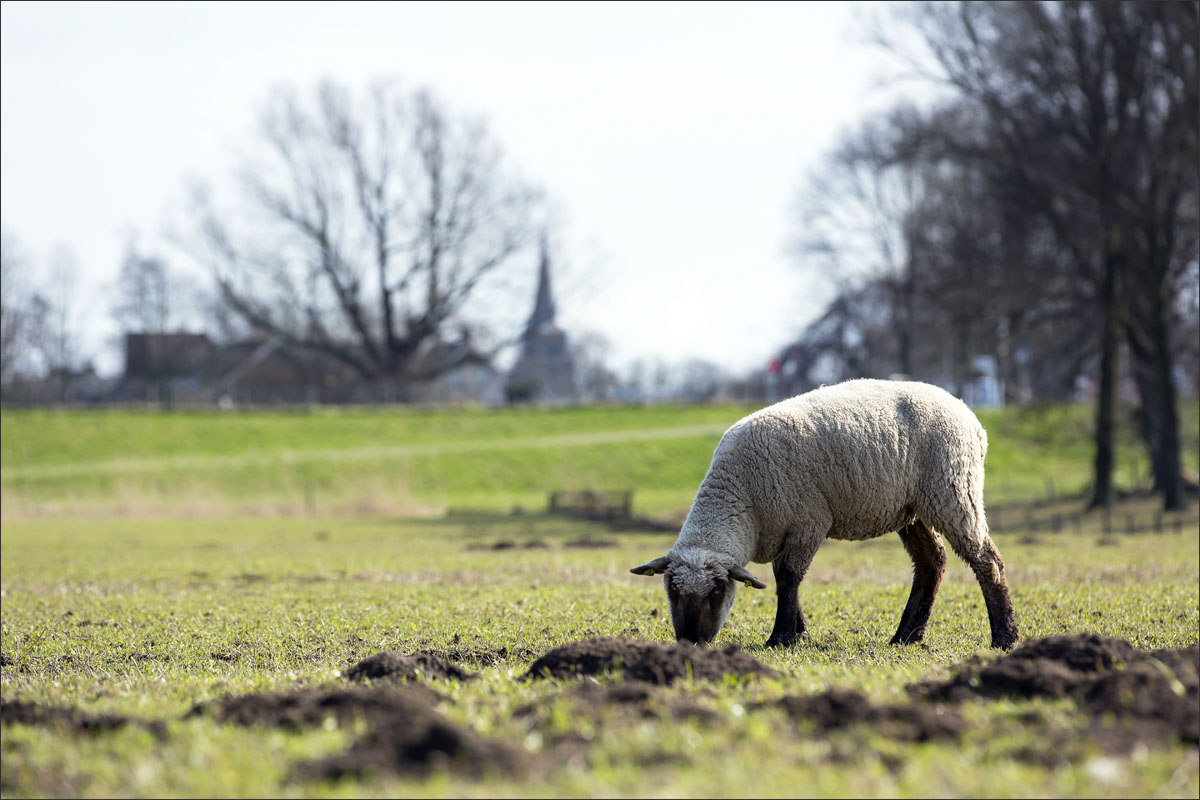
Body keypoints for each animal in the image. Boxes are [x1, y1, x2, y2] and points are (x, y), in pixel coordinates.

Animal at [633, 381, 1017, 652]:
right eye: (671, 589)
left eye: (716, 592)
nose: (690, 642)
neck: (742, 499)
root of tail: (969, 416)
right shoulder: (789, 532)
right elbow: (783, 580)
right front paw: (799, 632)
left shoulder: (808, 524)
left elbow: (788, 578)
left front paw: (781, 637)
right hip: (912, 508)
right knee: (931, 562)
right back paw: (907, 636)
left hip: (953, 490)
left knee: (986, 560)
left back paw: (1005, 637)